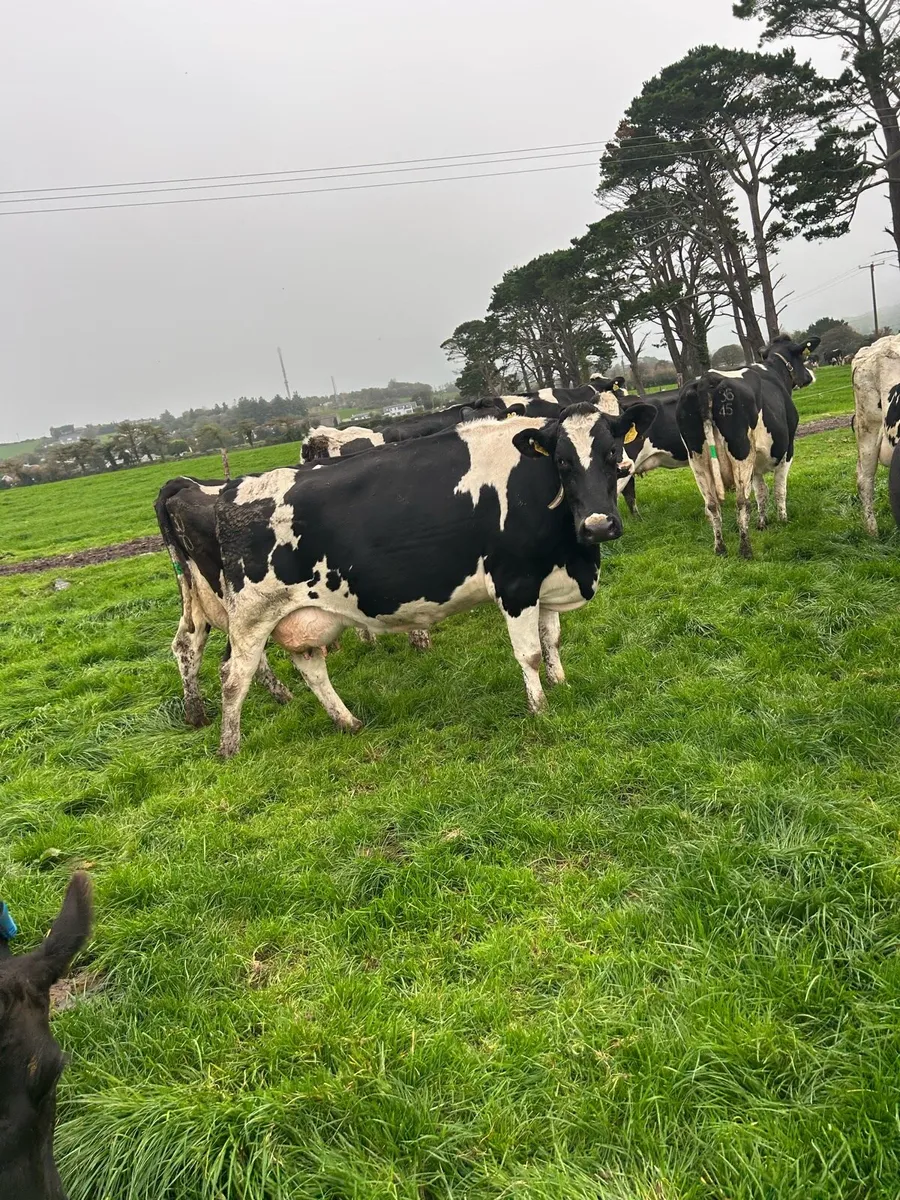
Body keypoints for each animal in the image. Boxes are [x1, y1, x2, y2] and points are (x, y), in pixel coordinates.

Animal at [174, 402, 656, 756]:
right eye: (562, 462)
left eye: (614, 456)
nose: (598, 526)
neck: (576, 556)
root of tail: (231, 491)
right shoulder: (515, 582)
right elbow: (530, 653)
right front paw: (540, 709)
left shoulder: (547, 579)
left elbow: (551, 640)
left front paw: (561, 684)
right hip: (251, 616)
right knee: (233, 675)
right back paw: (229, 748)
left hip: (302, 614)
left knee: (309, 665)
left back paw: (348, 722)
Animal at [675, 335, 820, 558]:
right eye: (802, 356)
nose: (810, 375)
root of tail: (706, 379)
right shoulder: (788, 450)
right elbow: (779, 488)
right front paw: (782, 519)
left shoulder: (756, 465)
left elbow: (761, 492)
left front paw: (762, 523)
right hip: (740, 451)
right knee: (742, 502)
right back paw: (745, 550)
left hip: (697, 458)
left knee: (712, 504)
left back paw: (720, 548)